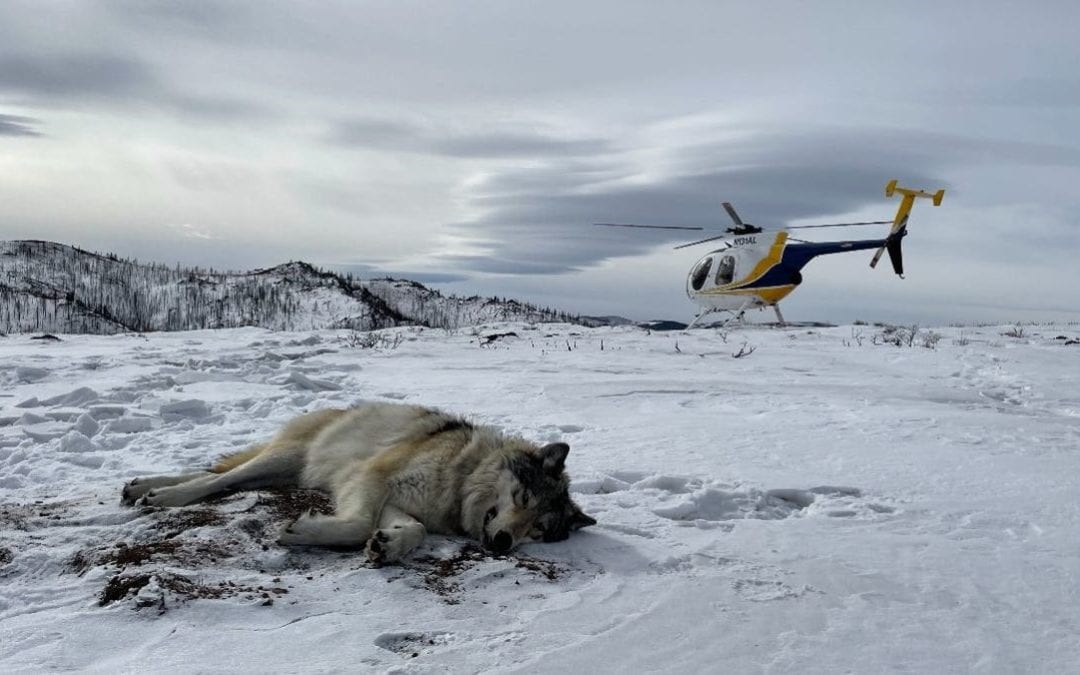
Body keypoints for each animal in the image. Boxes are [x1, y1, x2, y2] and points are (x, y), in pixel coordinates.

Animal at [120, 402, 595, 563]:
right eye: (523, 497)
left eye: (539, 530)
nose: (502, 543)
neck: (460, 476)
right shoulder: (370, 477)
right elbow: (360, 523)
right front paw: (304, 532)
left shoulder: (398, 502)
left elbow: (412, 530)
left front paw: (388, 546)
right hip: (287, 456)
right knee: (220, 477)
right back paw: (164, 494)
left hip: (283, 469)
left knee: (218, 475)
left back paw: (142, 487)